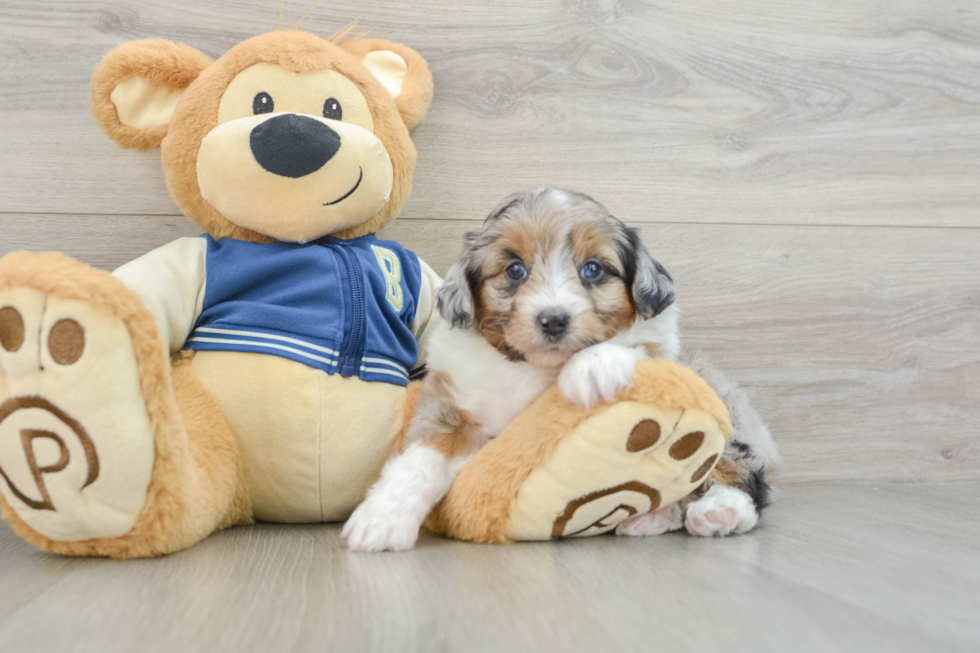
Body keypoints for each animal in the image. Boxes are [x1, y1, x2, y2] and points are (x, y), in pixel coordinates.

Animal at [342, 188, 772, 552]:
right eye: (515, 270)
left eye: (593, 269)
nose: (553, 320)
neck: (532, 367)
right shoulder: (451, 405)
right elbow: (419, 460)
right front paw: (382, 517)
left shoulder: (663, 345)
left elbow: (634, 339)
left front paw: (592, 368)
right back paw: (651, 517)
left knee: (742, 476)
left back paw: (721, 512)